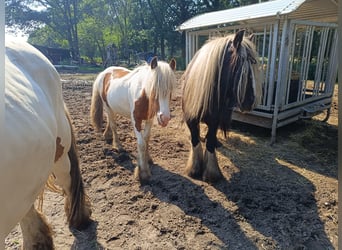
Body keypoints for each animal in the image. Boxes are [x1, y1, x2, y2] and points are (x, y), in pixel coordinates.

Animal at [90, 57, 176, 185]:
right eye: (154, 89)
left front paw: (147, 159)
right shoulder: (136, 120)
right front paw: (143, 173)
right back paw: (118, 145)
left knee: (110, 122)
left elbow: (146, 139)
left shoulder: (150, 119)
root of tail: (104, 72)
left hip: (113, 107)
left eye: (170, 90)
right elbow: (141, 143)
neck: (143, 96)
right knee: (113, 125)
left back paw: (107, 136)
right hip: (107, 107)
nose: (164, 118)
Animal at [182, 30, 262, 184]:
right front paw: (194, 169)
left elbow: (210, 141)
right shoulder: (190, 119)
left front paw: (211, 173)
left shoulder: (215, 120)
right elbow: (195, 139)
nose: (251, 101)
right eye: (241, 66)